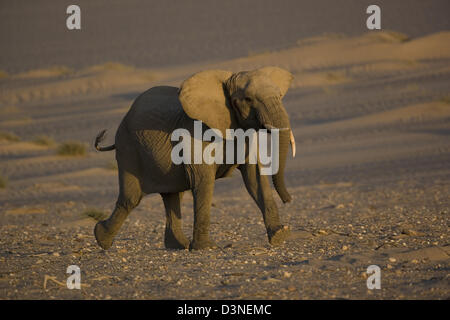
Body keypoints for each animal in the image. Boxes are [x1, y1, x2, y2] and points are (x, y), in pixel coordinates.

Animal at [92, 67, 296, 250]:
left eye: (280, 95)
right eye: (248, 99)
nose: (289, 200)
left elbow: (255, 178)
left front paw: (281, 235)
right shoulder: (194, 130)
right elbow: (203, 179)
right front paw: (206, 248)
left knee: (172, 195)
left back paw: (178, 246)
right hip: (128, 148)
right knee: (131, 198)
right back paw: (101, 238)